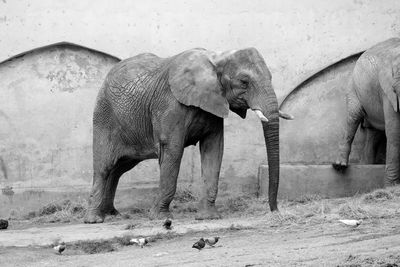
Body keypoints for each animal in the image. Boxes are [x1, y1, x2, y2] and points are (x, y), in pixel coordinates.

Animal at [84, 47, 292, 224]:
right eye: (244, 82)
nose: (276, 212)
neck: (216, 57)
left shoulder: (214, 106)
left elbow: (214, 150)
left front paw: (209, 217)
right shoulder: (170, 105)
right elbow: (173, 150)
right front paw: (160, 218)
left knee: (119, 168)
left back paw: (112, 214)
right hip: (104, 116)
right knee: (104, 167)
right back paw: (95, 219)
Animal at [332, 36, 400, 185]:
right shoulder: (388, 91)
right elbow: (394, 130)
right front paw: (390, 186)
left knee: (373, 133)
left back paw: (366, 165)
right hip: (353, 86)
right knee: (353, 116)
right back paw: (340, 166)